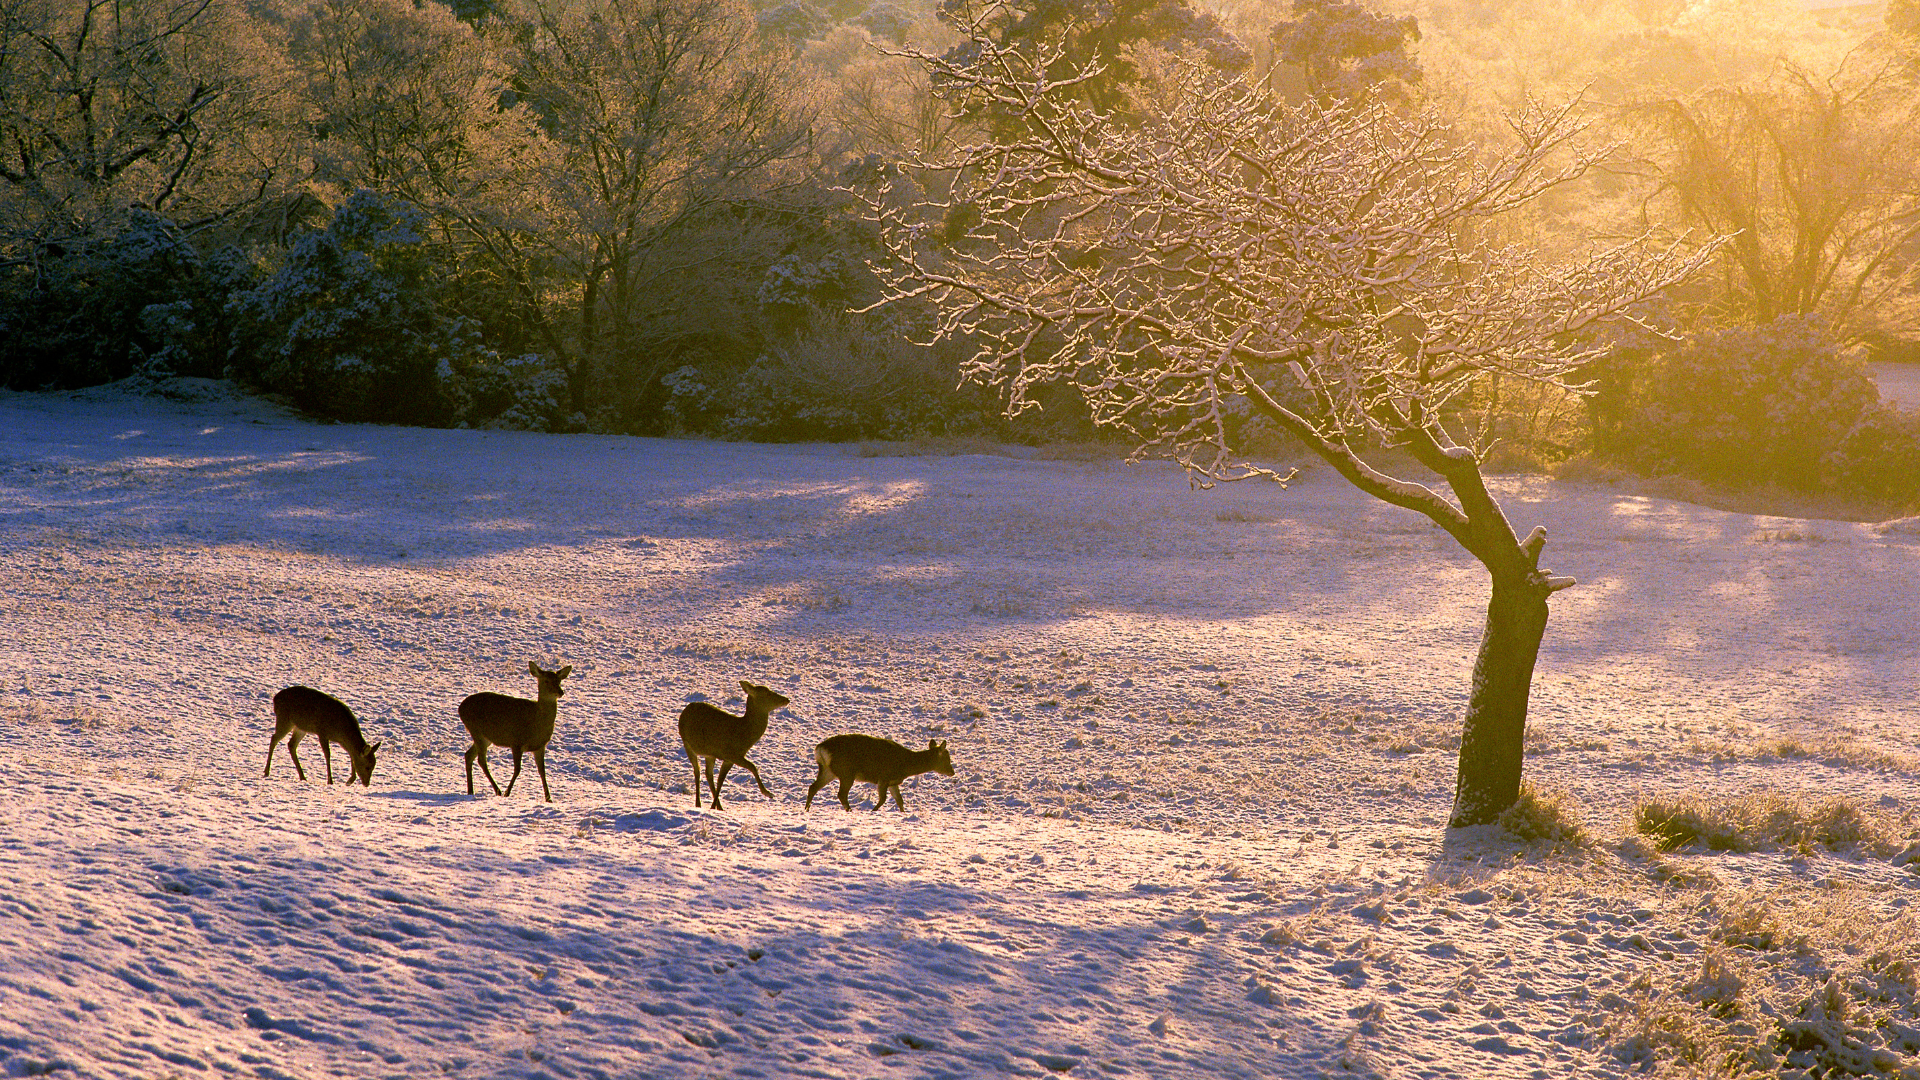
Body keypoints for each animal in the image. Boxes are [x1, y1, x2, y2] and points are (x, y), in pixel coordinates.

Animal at [460, 662, 571, 803]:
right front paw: (508, 793)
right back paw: (498, 790)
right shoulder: (516, 742)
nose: (560, 692)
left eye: (559, 680)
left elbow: (542, 771)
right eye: (546, 680)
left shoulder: (540, 746)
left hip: (485, 737)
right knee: (481, 760)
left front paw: (549, 799)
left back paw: (471, 790)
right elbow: (517, 769)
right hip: (476, 731)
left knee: (469, 755)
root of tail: (460, 708)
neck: (536, 723)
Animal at [678, 681, 789, 810]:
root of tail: (685, 710)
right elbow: (753, 766)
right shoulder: (732, 754)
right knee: (697, 771)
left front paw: (715, 807)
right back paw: (698, 804)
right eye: (767, 693)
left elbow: (721, 780)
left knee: (709, 774)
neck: (744, 735)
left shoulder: (729, 759)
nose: (786, 699)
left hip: (709, 754)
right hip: (687, 744)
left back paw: (717, 805)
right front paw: (768, 793)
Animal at [805, 734, 954, 812]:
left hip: (829, 771)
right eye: (947, 758)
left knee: (813, 787)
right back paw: (850, 811)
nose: (952, 772)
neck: (906, 765)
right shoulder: (883, 778)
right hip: (846, 772)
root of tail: (820, 749)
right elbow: (883, 799)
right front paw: (873, 811)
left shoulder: (893, 782)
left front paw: (903, 813)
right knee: (841, 794)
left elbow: (899, 800)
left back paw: (806, 809)